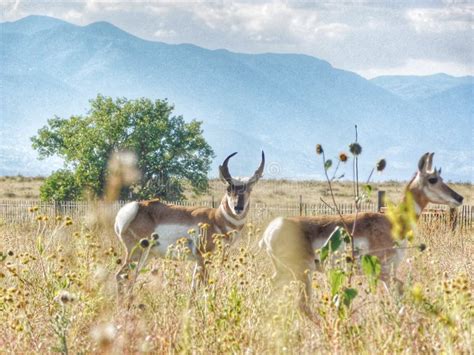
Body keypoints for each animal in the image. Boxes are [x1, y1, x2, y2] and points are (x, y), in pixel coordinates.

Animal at [113, 152, 264, 290]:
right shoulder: (203, 258)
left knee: (130, 278)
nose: (238, 208)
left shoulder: (200, 261)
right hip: (137, 253)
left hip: (146, 256)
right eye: (228, 188)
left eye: (249, 189)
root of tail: (135, 207)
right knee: (120, 276)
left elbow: (193, 288)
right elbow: (205, 286)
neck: (215, 218)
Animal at [260, 153, 462, 308]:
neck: (391, 221)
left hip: (286, 273)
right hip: (303, 273)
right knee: (303, 305)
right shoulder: (383, 272)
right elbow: (400, 291)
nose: (459, 197)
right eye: (433, 179)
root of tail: (272, 229)